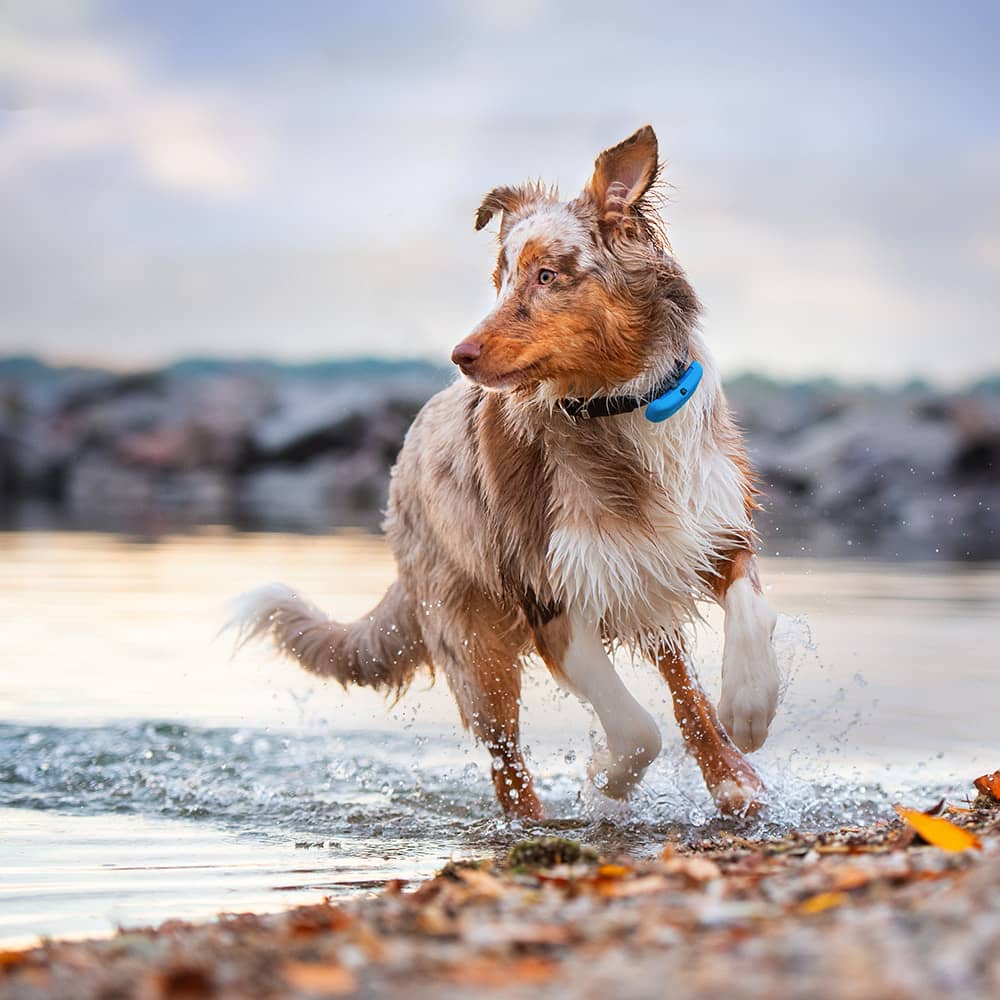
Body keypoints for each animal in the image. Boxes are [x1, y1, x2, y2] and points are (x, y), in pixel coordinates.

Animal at [232, 125, 780, 820]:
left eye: (546, 275)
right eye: (500, 279)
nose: (460, 354)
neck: (618, 406)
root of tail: (403, 459)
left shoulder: (703, 531)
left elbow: (750, 609)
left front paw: (751, 707)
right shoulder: (544, 591)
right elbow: (635, 732)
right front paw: (605, 782)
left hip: (636, 579)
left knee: (684, 690)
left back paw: (733, 778)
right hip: (476, 649)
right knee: (507, 766)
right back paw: (536, 822)